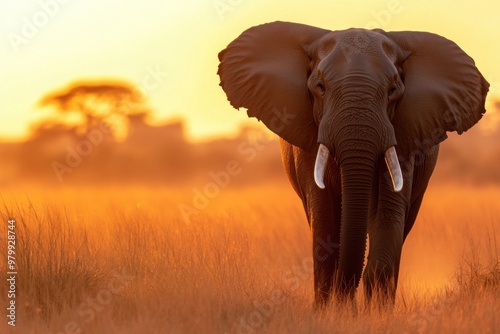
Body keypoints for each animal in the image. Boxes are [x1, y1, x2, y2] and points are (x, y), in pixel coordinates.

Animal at [216, 21, 488, 308]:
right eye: (320, 87)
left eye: (393, 91)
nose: (347, 299)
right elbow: (324, 218)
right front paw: (331, 311)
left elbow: (387, 215)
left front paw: (376, 312)